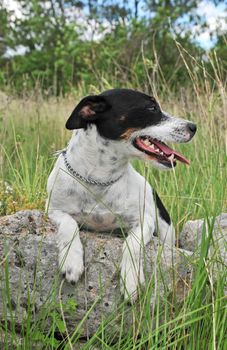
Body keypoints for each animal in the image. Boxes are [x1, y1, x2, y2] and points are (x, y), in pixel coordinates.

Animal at [46, 89, 197, 300]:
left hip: (165, 232)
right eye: (152, 108)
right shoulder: (53, 210)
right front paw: (71, 261)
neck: (100, 179)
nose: (193, 127)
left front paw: (131, 280)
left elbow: (132, 244)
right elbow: (69, 225)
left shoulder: (144, 221)